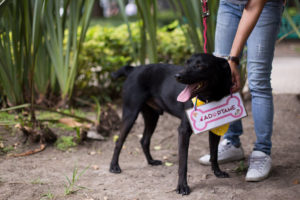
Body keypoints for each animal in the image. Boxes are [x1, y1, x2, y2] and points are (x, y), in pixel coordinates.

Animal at [109, 53, 232, 195]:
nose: (177, 76)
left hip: (152, 116)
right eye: (186, 63)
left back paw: (151, 161)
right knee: (119, 141)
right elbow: (183, 164)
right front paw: (182, 186)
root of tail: (133, 69)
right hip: (130, 114)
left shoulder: (215, 129)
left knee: (144, 140)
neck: (208, 98)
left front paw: (217, 172)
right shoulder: (183, 131)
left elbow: (214, 153)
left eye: (200, 66)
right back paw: (114, 166)